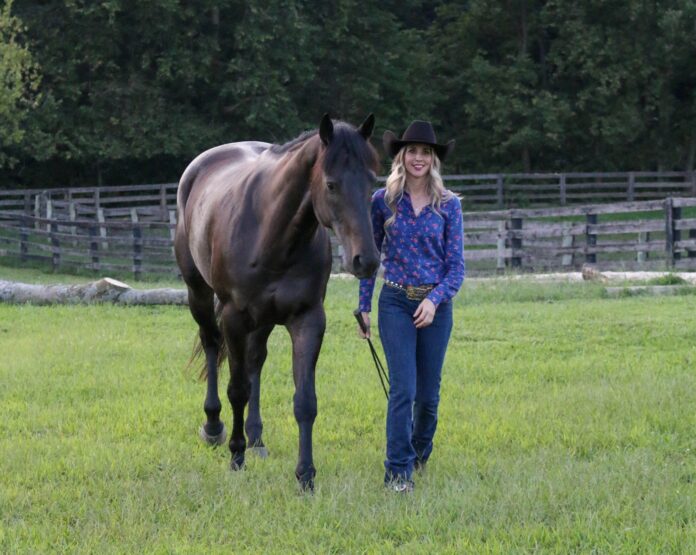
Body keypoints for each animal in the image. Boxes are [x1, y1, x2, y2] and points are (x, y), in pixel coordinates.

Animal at [174, 115, 380, 488]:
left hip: (263, 318)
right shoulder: (234, 318)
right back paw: (214, 427)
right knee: (211, 344)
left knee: (256, 360)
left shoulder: (308, 319)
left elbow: (305, 400)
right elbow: (237, 389)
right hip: (199, 293)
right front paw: (236, 456)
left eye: (372, 181)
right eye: (331, 185)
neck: (272, 234)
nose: (366, 260)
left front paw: (306, 475)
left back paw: (256, 438)